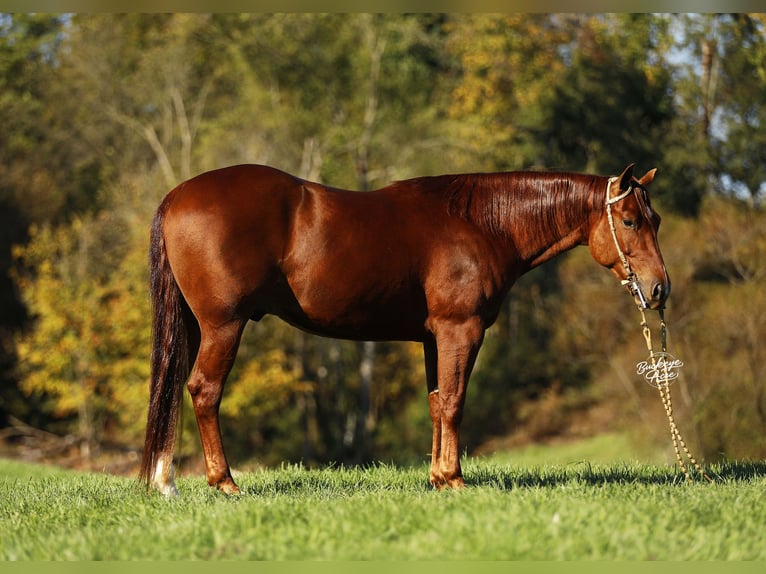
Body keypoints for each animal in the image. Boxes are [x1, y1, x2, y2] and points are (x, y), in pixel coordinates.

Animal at [139, 162, 669, 496]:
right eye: (629, 220)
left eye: (656, 218)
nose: (659, 288)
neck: (482, 223)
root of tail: (176, 196)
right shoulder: (461, 330)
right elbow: (454, 402)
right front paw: (455, 479)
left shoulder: (435, 337)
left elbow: (436, 403)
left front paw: (437, 477)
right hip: (223, 326)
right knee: (204, 391)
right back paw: (224, 482)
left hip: (195, 327)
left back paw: (168, 480)